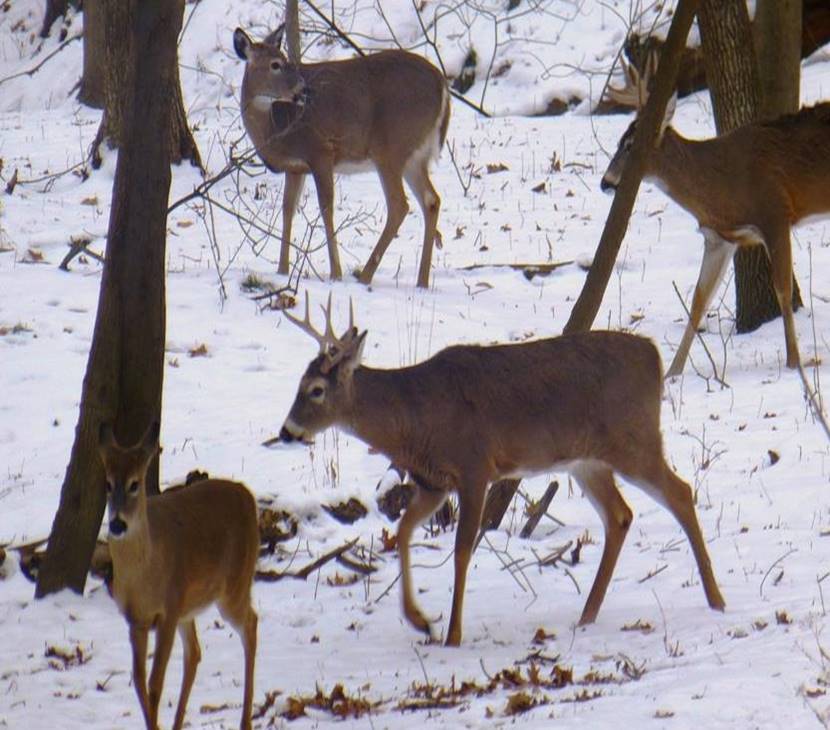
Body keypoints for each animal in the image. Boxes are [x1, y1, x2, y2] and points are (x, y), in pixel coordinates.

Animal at [97, 422, 259, 730]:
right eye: (108, 484)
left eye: (135, 483)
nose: (117, 524)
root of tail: (248, 495)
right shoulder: (136, 620)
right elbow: (139, 682)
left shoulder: (168, 611)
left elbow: (155, 683)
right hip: (190, 606)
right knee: (194, 652)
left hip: (234, 584)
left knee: (250, 624)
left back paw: (245, 721)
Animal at [233, 26, 450, 289]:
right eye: (275, 64)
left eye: (285, 60)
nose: (303, 90)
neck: (275, 126)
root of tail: (442, 85)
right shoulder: (295, 167)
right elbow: (287, 210)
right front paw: (282, 270)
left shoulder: (321, 151)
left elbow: (326, 207)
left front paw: (335, 273)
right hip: (414, 156)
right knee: (431, 200)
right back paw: (421, 281)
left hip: (390, 147)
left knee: (399, 204)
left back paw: (366, 276)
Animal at [278, 294, 725, 647]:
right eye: (297, 383)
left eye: (316, 390)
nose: (287, 431)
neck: (415, 418)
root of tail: (653, 354)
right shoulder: (434, 483)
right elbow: (403, 532)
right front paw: (420, 621)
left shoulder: (475, 466)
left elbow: (461, 550)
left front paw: (452, 635)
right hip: (587, 461)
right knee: (620, 515)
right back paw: (587, 615)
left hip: (633, 439)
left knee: (681, 492)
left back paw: (716, 600)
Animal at [601, 56, 830, 377]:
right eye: (619, 141)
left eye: (631, 145)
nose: (605, 182)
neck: (720, 185)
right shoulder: (719, 237)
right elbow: (699, 300)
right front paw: (673, 372)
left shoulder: (775, 214)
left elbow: (782, 290)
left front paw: (794, 362)